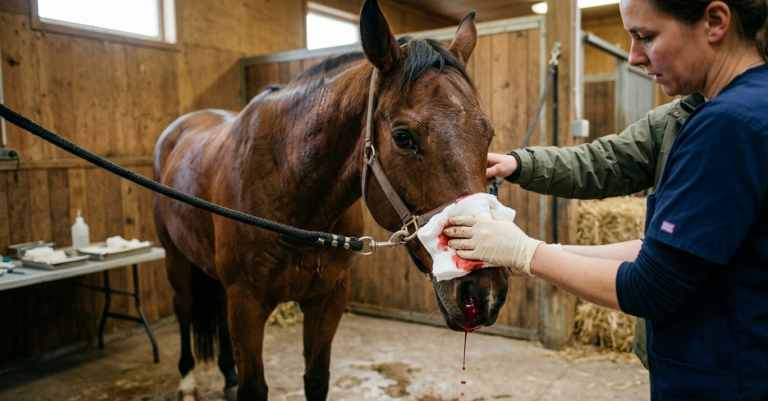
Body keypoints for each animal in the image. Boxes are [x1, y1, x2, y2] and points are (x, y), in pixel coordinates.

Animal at [153, 0, 509, 399]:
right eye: (403, 138)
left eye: (488, 134)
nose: (483, 291)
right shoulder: (246, 304)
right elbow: (254, 387)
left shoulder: (328, 299)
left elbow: (316, 378)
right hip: (175, 258)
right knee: (184, 309)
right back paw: (187, 379)